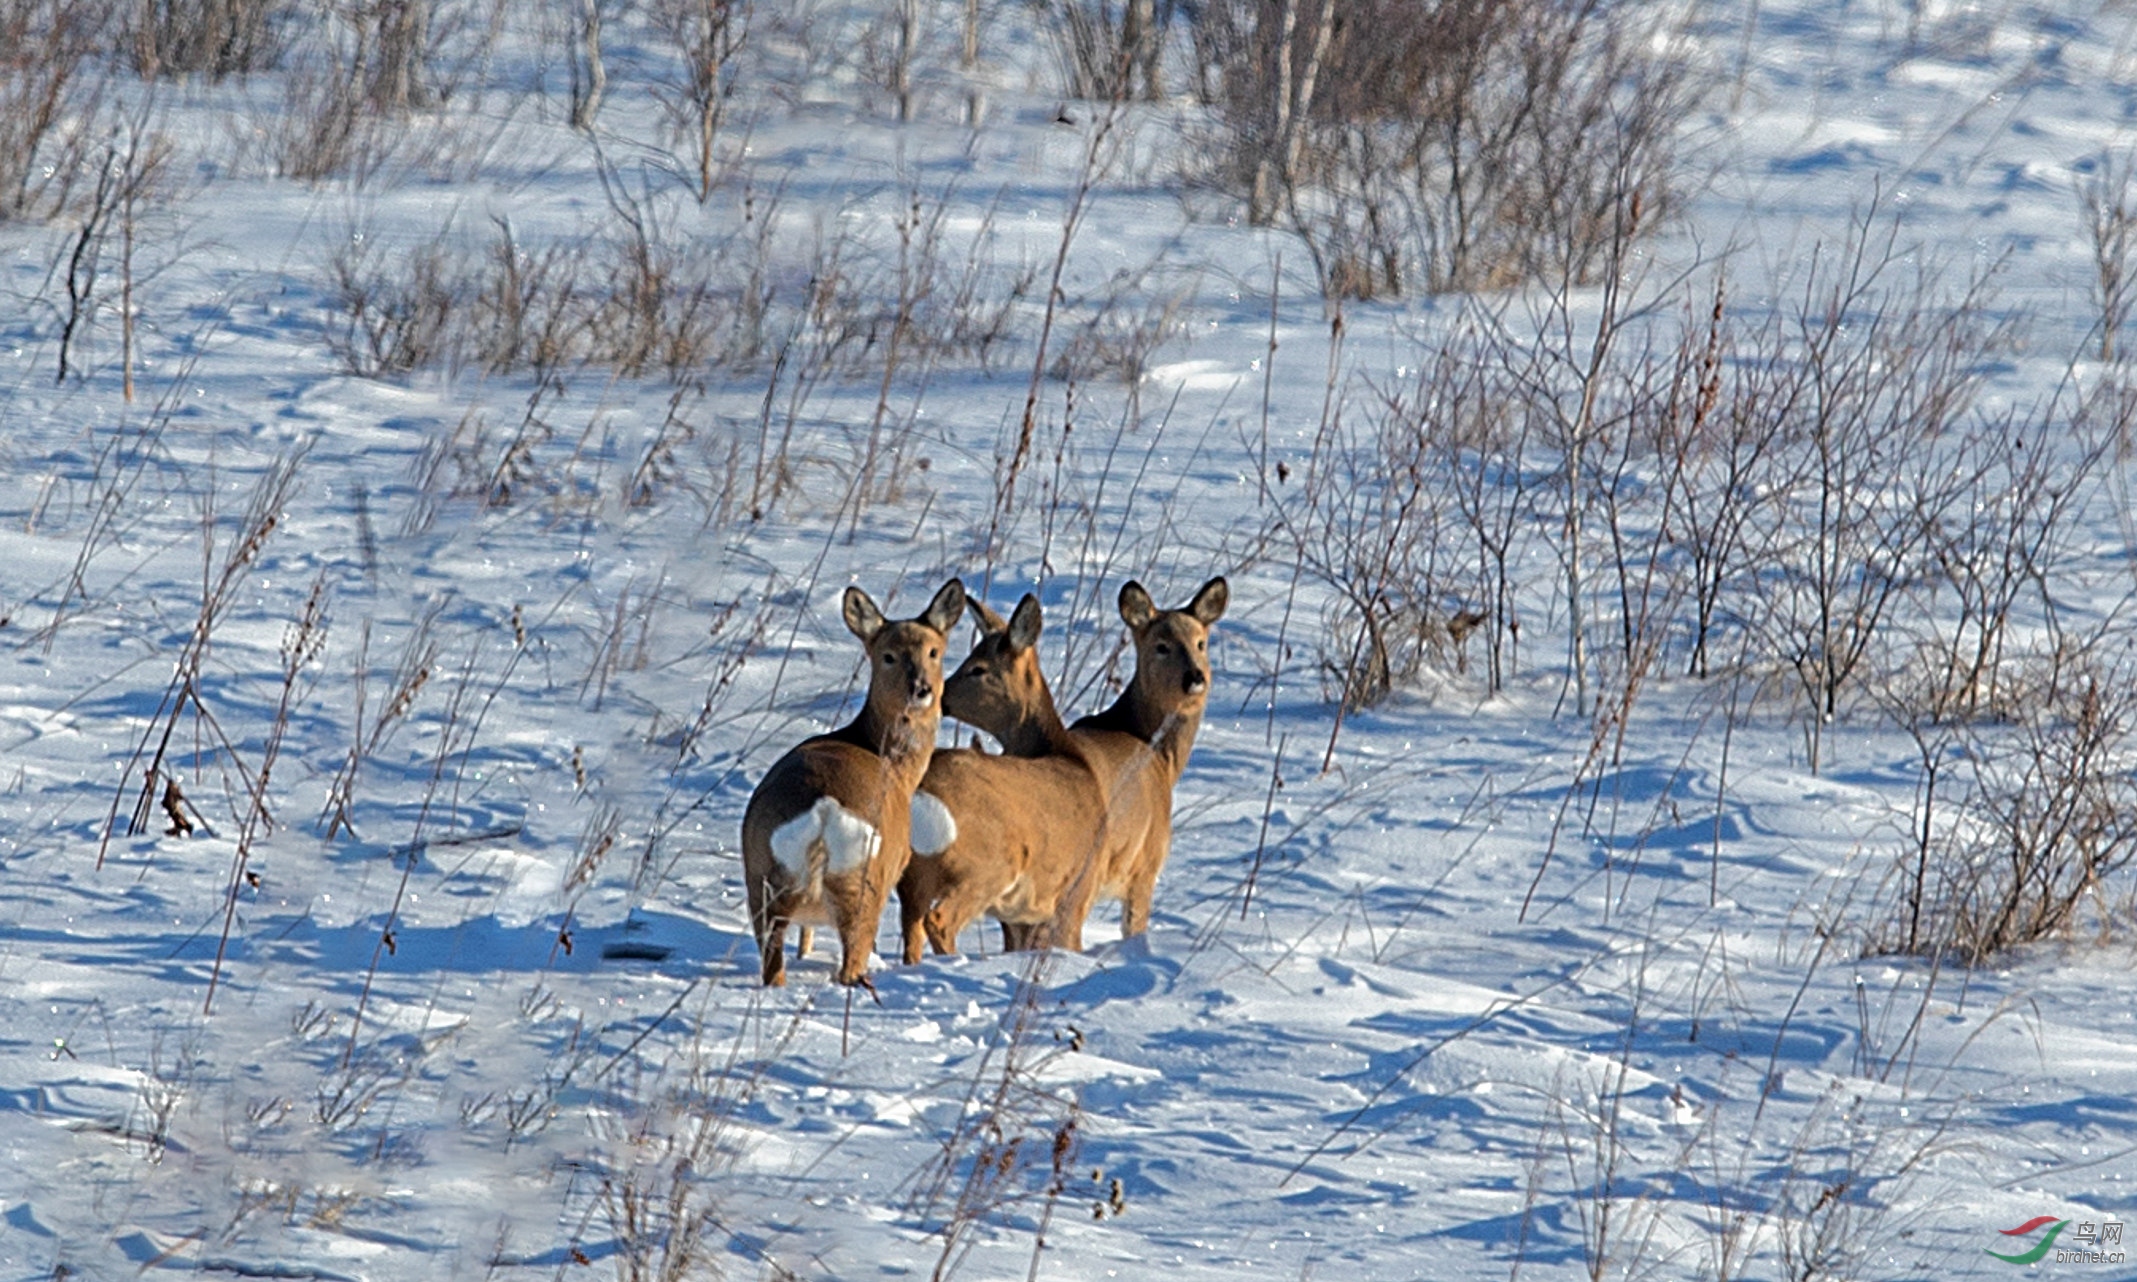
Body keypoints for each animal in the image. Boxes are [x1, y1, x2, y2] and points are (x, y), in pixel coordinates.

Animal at [739, 576, 965, 987]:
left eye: (934, 651)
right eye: (888, 656)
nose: (921, 689)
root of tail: (823, 812)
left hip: (763, 880)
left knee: (773, 964)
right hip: (864, 882)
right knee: (853, 960)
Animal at [893, 593, 1111, 961]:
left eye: (977, 668)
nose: (937, 696)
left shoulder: (1020, 915)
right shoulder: (1075, 890)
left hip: (913, 877)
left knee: (911, 931)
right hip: (988, 866)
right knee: (938, 920)